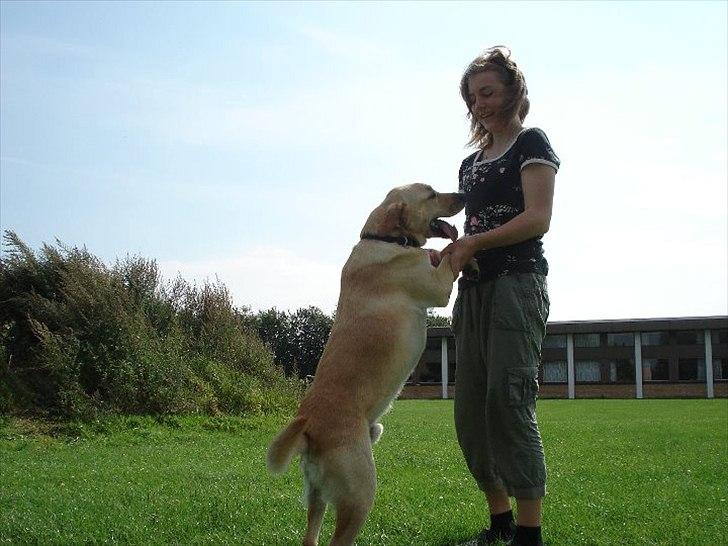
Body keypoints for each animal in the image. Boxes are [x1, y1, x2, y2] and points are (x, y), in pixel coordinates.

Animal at [264, 184, 464, 544]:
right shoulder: (438, 286)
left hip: (316, 496)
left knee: (311, 536)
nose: (465, 195)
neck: (384, 238)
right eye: (431, 194)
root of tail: (309, 427)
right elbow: (452, 251)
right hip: (360, 493)